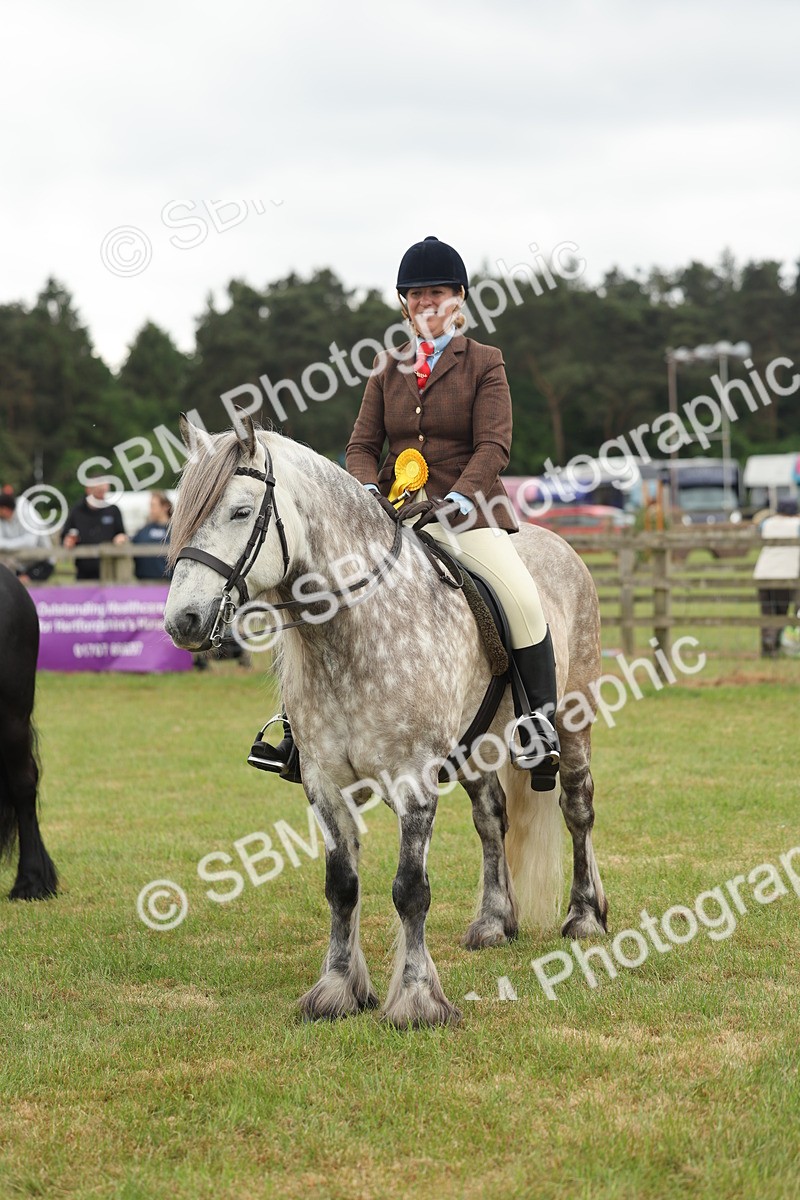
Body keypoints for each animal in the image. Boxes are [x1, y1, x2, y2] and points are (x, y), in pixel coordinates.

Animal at [164, 417, 608, 1027]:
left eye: (239, 511)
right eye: (181, 512)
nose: (182, 621)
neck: (351, 635)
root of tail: (558, 543)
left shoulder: (413, 779)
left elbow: (409, 890)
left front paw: (417, 1001)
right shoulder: (323, 783)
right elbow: (342, 886)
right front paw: (335, 991)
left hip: (573, 721)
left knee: (577, 808)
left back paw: (585, 916)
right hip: (474, 745)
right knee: (491, 819)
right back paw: (493, 922)